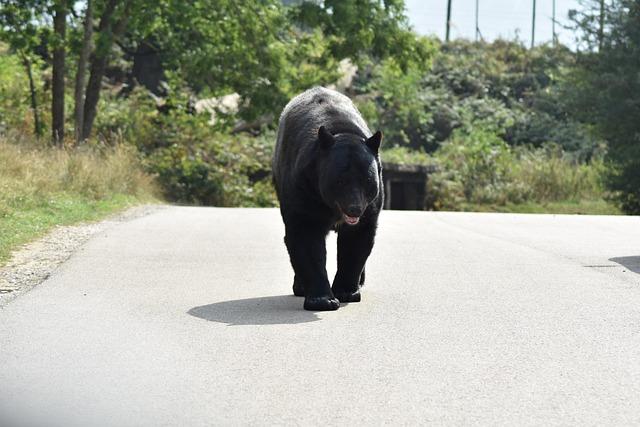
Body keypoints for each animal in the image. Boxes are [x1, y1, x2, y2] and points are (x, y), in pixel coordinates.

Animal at [272, 87, 383, 311]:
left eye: (367, 180)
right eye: (340, 181)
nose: (355, 208)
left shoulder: (372, 206)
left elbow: (356, 240)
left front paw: (347, 292)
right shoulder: (303, 187)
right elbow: (306, 237)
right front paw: (322, 300)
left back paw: (360, 281)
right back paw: (300, 287)